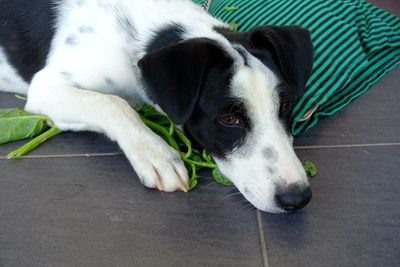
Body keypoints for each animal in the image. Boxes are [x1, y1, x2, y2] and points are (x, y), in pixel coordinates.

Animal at [0, 0, 314, 214]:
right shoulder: (46, 87)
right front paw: (157, 154)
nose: (297, 198)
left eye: (286, 105)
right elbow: (113, 103)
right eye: (228, 119)